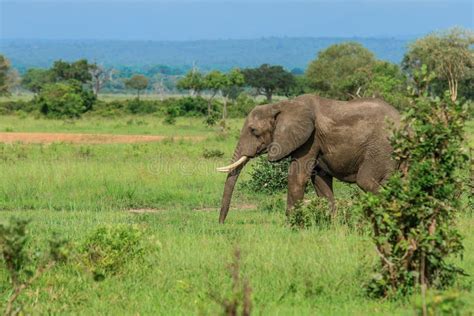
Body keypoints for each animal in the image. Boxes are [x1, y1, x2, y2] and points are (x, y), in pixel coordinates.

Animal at [218, 92, 400, 223]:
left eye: (254, 131)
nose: (221, 223)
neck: (283, 105)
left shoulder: (310, 139)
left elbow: (298, 176)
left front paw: (291, 226)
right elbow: (319, 180)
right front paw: (332, 225)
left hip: (382, 149)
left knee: (366, 180)